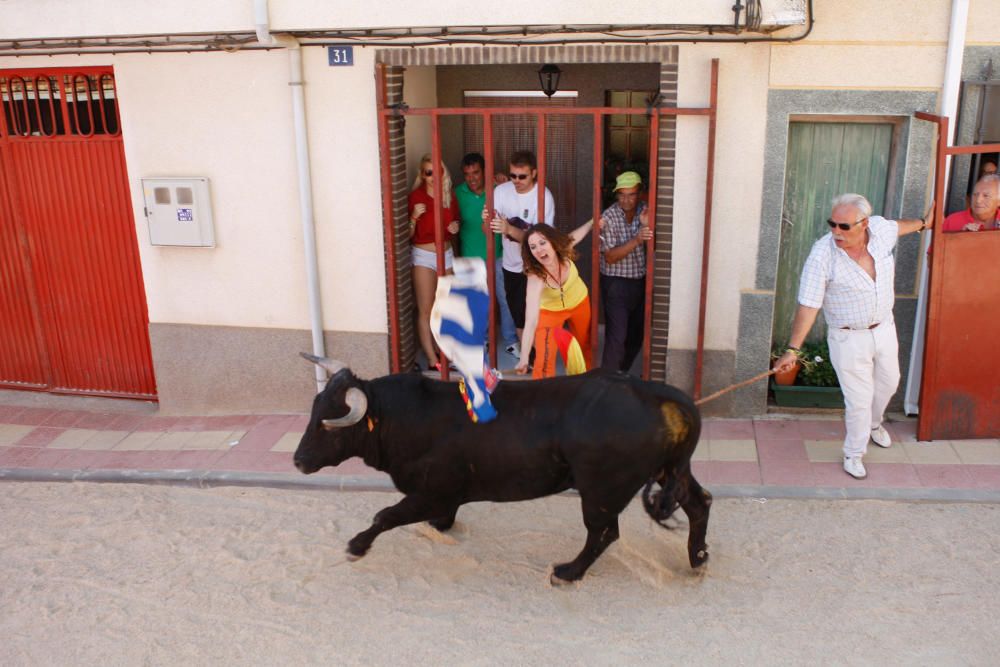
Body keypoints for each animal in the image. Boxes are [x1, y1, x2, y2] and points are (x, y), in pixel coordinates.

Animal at [292, 354, 712, 584]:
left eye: (330, 424)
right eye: (314, 409)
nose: (298, 460)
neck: (401, 417)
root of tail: (652, 392)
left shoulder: (431, 492)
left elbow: (385, 515)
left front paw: (356, 547)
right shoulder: (441, 496)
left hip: (600, 492)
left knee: (604, 532)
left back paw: (568, 572)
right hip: (668, 470)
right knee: (699, 502)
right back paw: (698, 558)